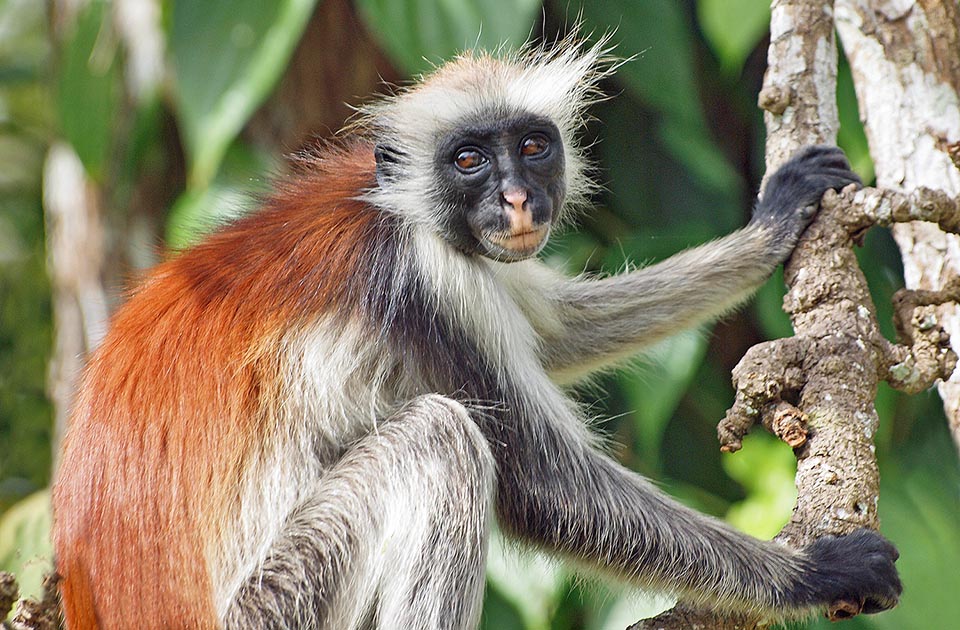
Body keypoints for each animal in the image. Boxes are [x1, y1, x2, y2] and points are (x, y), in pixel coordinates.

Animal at [56, 40, 904, 630]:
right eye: (468, 160)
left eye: (531, 146)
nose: (518, 201)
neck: (395, 207)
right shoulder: (426, 278)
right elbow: (546, 492)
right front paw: (818, 573)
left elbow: (555, 330)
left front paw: (775, 220)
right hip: (270, 610)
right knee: (440, 439)